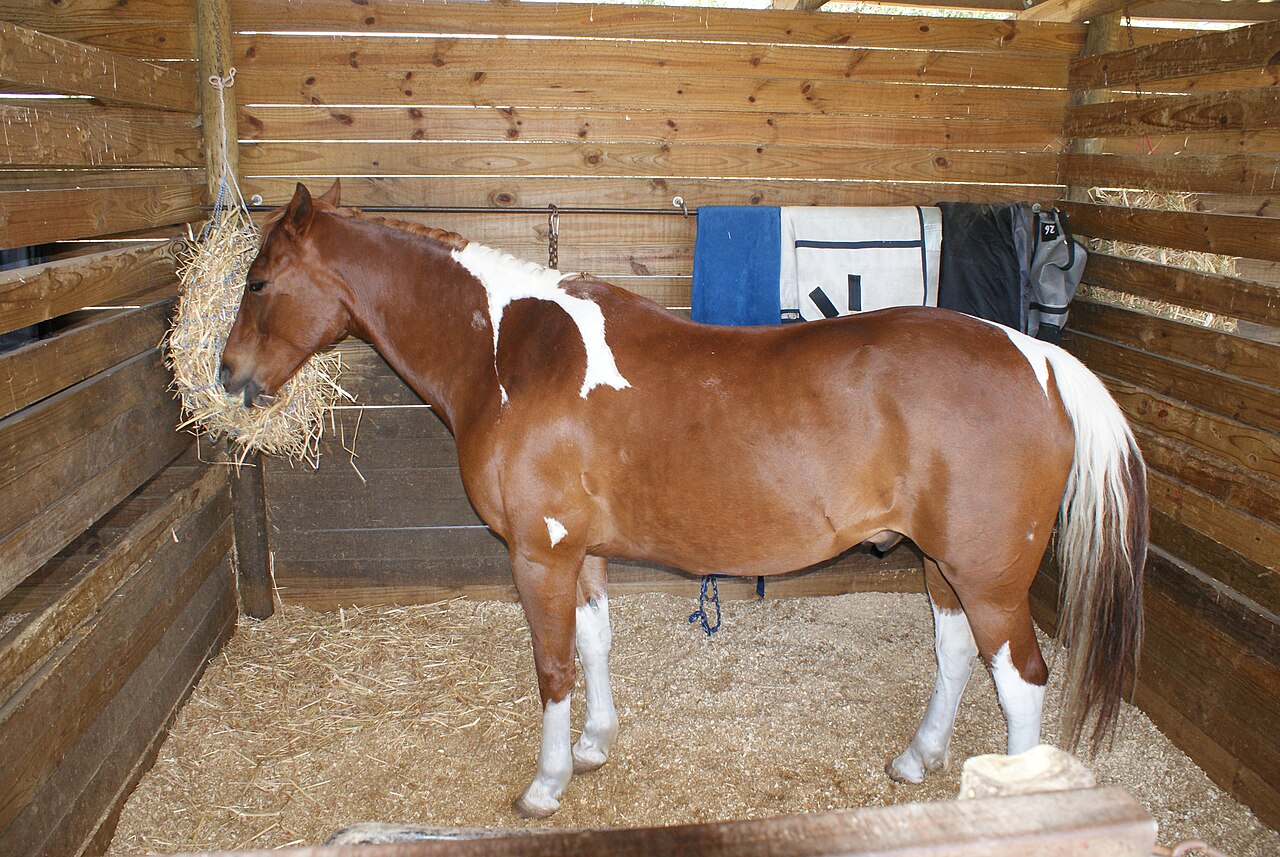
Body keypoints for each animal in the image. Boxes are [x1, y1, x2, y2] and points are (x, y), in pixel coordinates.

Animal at [220, 181, 1147, 818]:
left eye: (259, 283)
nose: (228, 377)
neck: (510, 350)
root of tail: (1034, 354)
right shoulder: (582, 552)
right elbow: (594, 643)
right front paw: (595, 745)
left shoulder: (539, 553)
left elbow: (552, 666)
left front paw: (547, 784)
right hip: (946, 569)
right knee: (957, 655)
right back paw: (918, 758)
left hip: (988, 577)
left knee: (1021, 680)